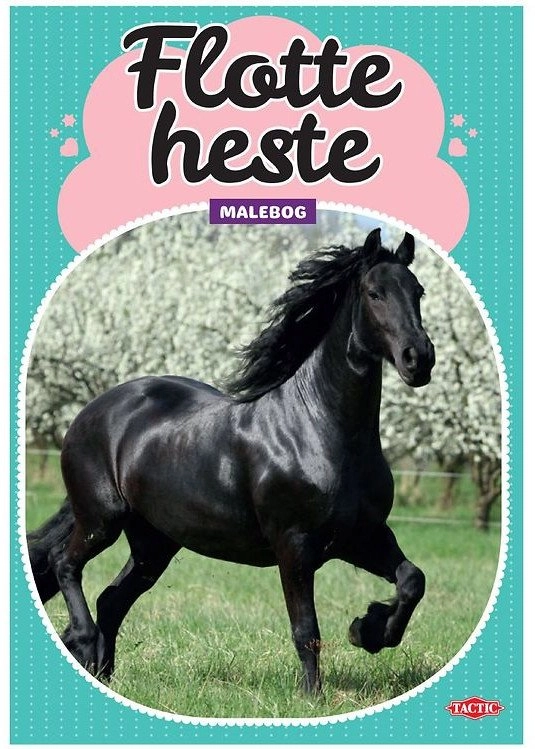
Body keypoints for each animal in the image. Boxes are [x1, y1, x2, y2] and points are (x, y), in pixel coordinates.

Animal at [27, 227, 435, 694]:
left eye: (418, 291)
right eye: (374, 293)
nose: (419, 358)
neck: (320, 431)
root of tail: (92, 411)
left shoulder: (363, 536)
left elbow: (412, 581)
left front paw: (367, 630)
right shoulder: (294, 546)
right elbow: (306, 631)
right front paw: (312, 696)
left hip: (154, 540)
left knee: (111, 599)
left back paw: (102, 672)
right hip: (102, 519)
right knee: (65, 563)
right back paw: (82, 641)